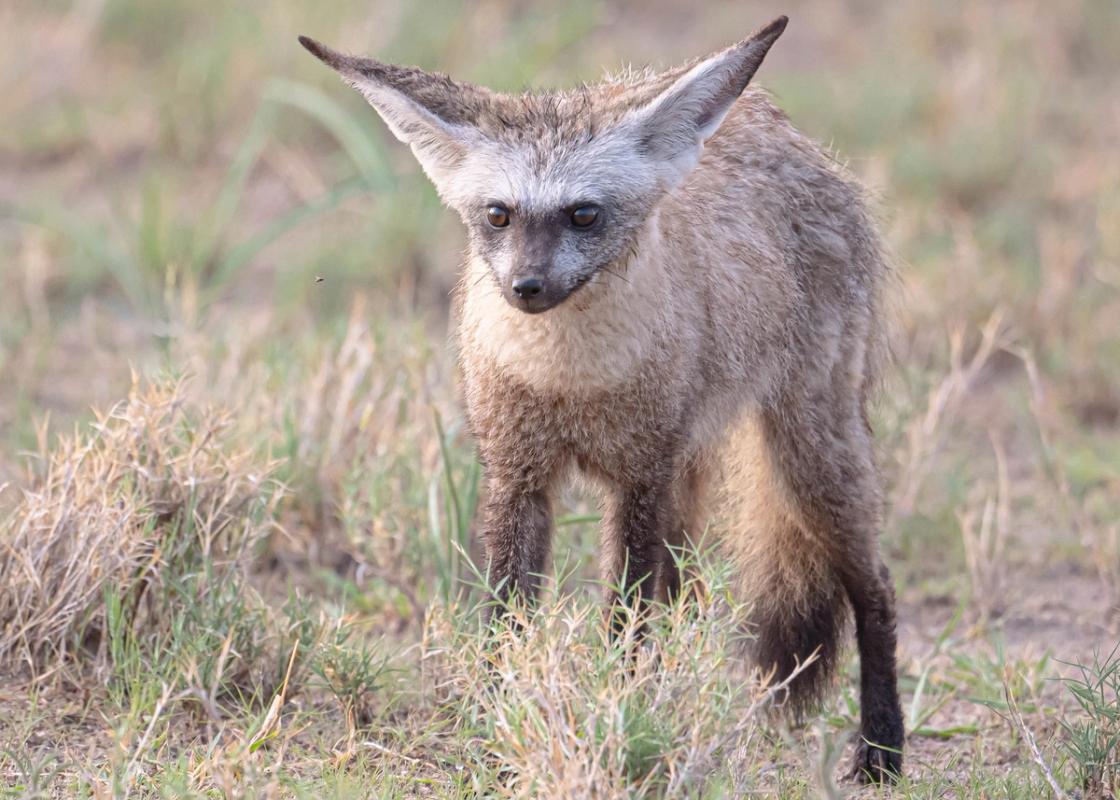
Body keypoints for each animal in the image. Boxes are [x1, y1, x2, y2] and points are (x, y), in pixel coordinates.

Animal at [302, 15, 904, 784]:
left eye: (583, 215)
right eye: (498, 215)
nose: (526, 287)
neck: (570, 380)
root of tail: (783, 129)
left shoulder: (638, 482)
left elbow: (623, 625)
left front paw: (618, 723)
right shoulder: (518, 479)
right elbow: (509, 623)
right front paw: (499, 738)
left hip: (808, 463)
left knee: (876, 591)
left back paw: (883, 750)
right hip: (701, 482)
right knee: (684, 599)